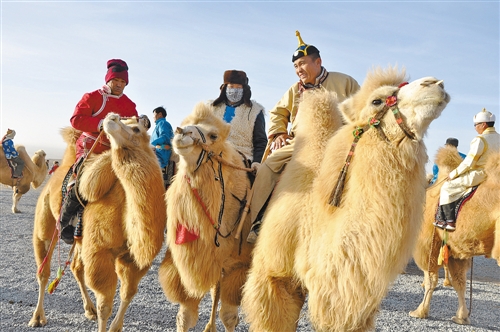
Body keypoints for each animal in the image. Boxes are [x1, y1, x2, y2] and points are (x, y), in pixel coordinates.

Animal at [28, 113, 166, 330]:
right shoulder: (99, 252)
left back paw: (88, 309)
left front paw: (116, 327)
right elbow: (105, 305)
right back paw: (37, 317)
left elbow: (128, 294)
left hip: (79, 239)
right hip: (45, 224)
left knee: (76, 268)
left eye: (136, 128)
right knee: (43, 270)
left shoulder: (133, 259)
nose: (111, 118)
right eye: (124, 121)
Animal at [158, 102, 254, 330]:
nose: (182, 132)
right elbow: (185, 316)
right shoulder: (188, 264)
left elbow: (229, 316)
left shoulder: (238, 266)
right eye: (185, 123)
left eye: (213, 135)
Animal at [408, 145, 498, 324]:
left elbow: (430, 279)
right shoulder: (456, 251)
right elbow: (460, 282)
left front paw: (419, 311)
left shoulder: (427, 244)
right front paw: (462, 317)